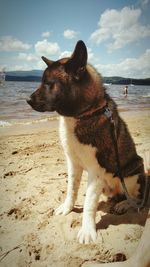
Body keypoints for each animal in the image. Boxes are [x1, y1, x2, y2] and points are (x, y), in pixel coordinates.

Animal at [27, 40, 145, 245]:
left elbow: (90, 203)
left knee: (137, 200)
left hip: (133, 175)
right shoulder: (73, 164)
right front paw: (67, 208)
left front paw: (87, 231)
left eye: (49, 84)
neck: (84, 114)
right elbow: (71, 189)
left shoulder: (95, 171)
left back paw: (123, 205)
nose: (27, 100)